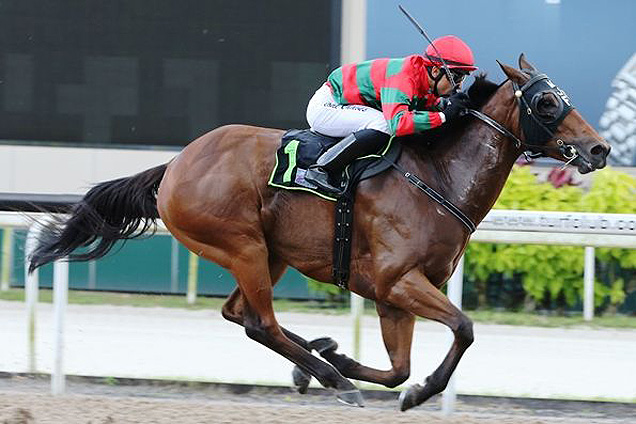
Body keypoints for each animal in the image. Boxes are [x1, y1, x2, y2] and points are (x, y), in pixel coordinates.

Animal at [29, 54, 612, 412]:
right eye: (545, 103)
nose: (600, 148)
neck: (439, 175)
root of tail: (175, 164)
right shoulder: (399, 281)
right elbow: (464, 330)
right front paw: (415, 391)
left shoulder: (393, 295)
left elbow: (399, 368)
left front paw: (356, 362)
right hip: (241, 244)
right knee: (260, 323)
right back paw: (331, 378)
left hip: (269, 253)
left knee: (241, 315)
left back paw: (321, 359)